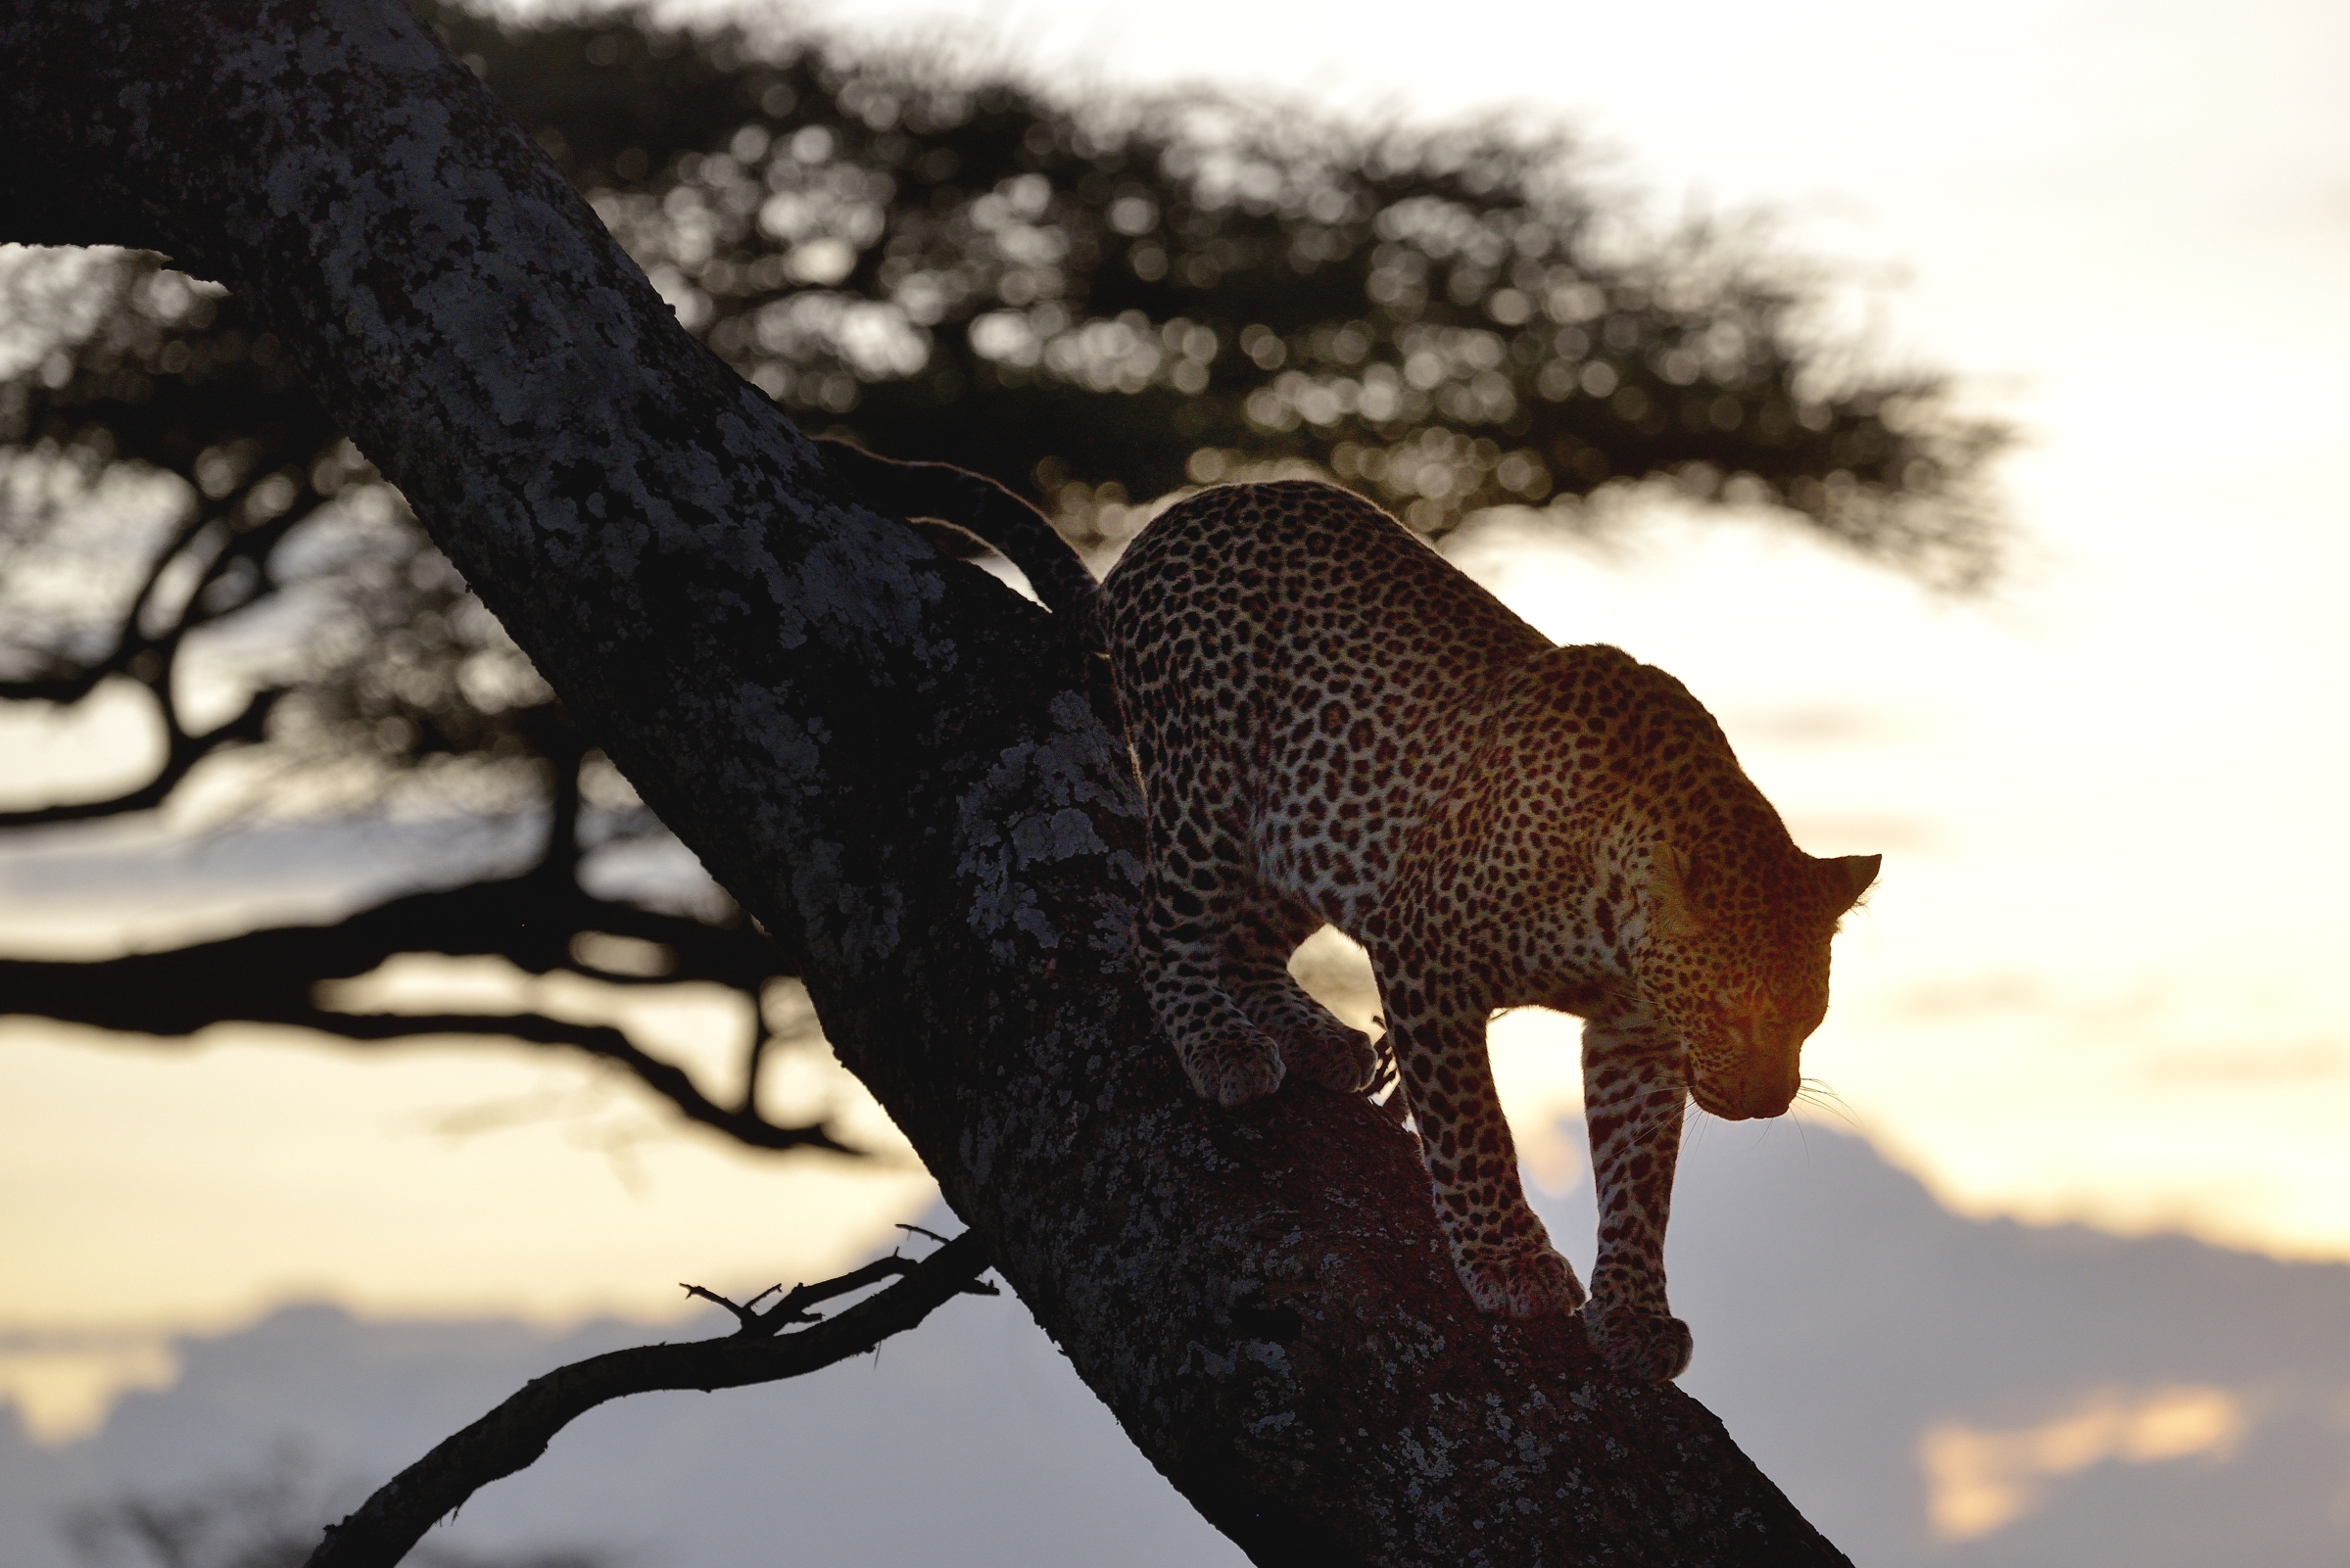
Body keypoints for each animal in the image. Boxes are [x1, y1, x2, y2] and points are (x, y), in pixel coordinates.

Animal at [823, 441, 1878, 1382]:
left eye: (1810, 1016)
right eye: (1736, 1009)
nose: (1767, 1099)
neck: (1612, 910)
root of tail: (1170, 520)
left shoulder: (1634, 1035)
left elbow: (1639, 1180)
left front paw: (1632, 1314)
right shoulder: (1426, 953)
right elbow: (1473, 1128)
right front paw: (1509, 1263)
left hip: (1313, 836)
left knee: (1244, 940)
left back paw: (1314, 1037)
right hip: (1210, 784)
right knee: (1158, 928)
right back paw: (1220, 1043)